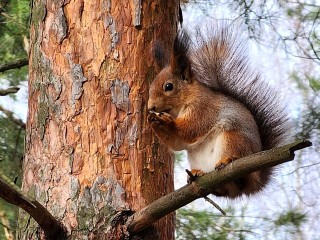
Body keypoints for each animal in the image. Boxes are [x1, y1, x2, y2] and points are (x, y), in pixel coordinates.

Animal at [148, 23, 290, 198]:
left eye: (168, 86)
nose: (150, 107)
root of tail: (258, 179)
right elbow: (178, 143)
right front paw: (154, 122)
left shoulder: (203, 107)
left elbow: (191, 128)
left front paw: (166, 122)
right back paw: (198, 175)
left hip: (233, 139)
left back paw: (228, 161)